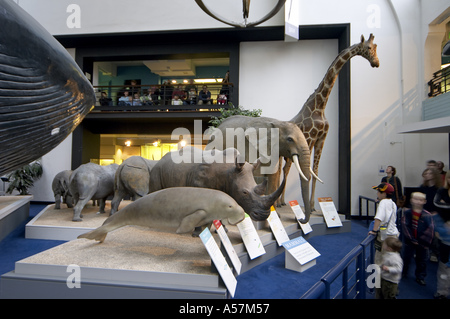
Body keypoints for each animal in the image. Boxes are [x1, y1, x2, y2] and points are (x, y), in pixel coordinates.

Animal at [78, 188, 246, 242]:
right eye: (230, 206)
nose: (243, 215)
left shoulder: (208, 216)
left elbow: (206, 224)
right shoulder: (201, 211)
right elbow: (189, 220)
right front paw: (180, 231)